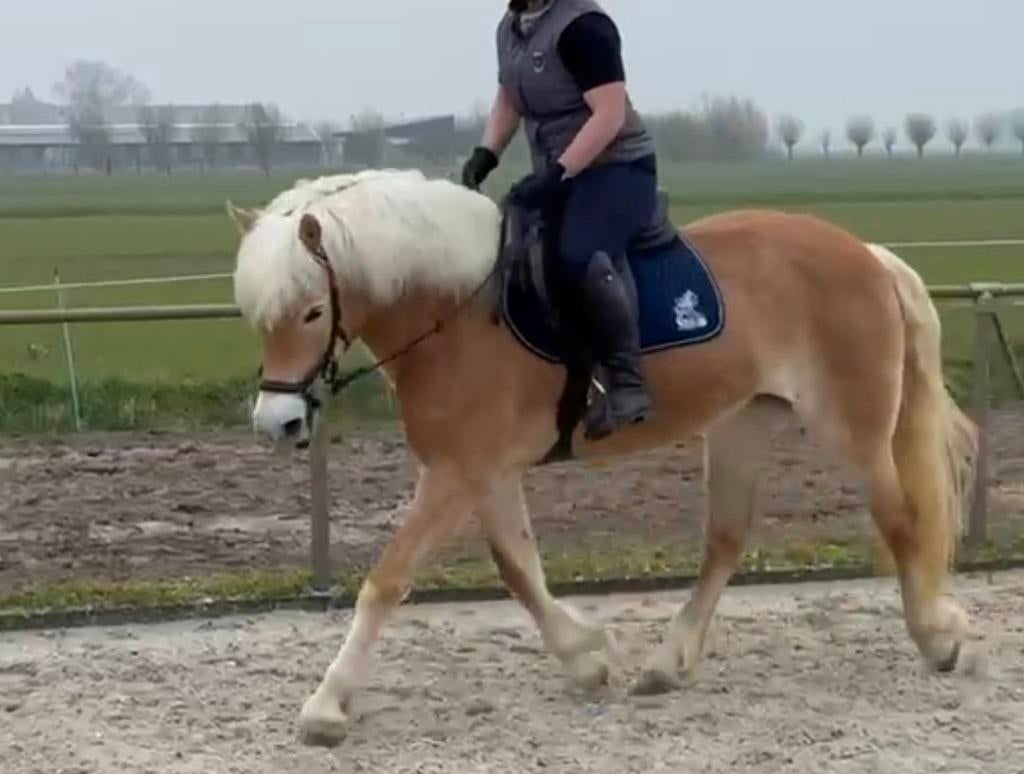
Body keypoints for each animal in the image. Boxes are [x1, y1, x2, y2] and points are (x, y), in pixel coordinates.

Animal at [228, 168, 977, 747]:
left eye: (311, 311)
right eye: (259, 317)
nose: (278, 422)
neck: (458, 312)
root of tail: (867, 254)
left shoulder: (456, 474)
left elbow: (387, 581)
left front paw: (326, 706)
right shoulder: (482, 473)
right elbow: (519, 569)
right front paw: (587, 657)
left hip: (851, 428)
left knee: (900, 520)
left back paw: (937, 639)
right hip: (741, 423)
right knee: (727, 539)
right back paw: (668, 664)